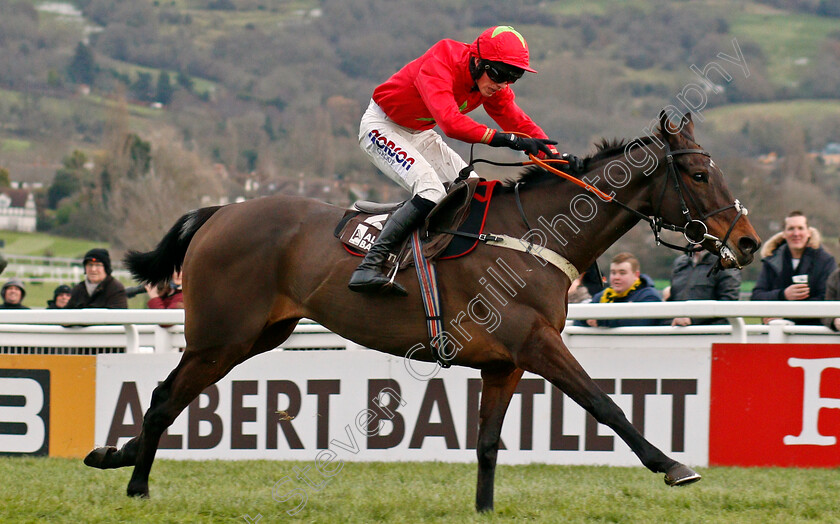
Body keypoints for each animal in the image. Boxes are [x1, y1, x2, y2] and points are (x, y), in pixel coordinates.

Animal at [83, 111, 760, 512]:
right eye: (700, 174)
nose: (751, 242)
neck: (536, 234)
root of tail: (219, 212)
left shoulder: (505, 362)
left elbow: (487, 442)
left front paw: (485, 511)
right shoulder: (538, 343)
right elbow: (605, 403)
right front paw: (672, 465)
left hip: (258, 335)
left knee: (170, 395)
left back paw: (116, 456)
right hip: (222, 334)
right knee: (167, 397)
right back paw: (136, 482)